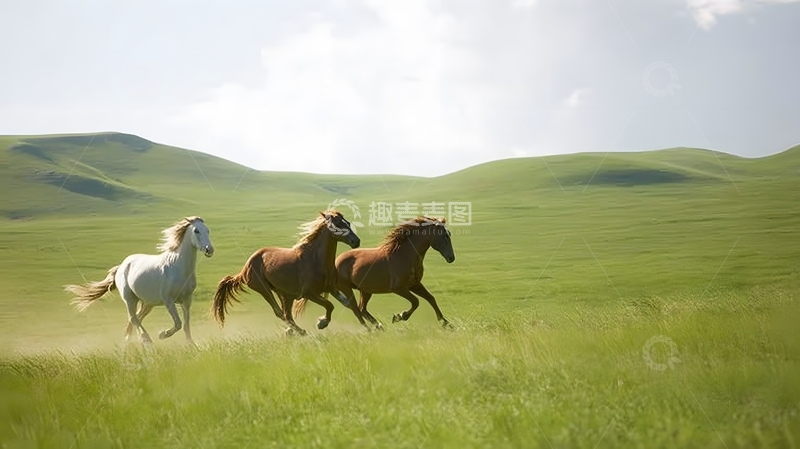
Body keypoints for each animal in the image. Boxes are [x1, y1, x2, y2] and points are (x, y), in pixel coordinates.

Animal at [65, 216, 214, 344]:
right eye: (196, 230)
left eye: (207, 230)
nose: (209, 250)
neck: (178, 267)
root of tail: (122, 266)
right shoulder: (168, 300)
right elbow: (178, 323)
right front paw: (162, 334)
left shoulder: (187, 300)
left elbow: (186, 325)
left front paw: (191, 344)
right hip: (130, 299)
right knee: (133, 318)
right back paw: (146, 340)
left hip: (148, 303)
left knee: (137, 317)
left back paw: (132, 341)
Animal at [211, 210, 366, 335]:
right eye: (338, 224)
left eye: (347, 223)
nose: (356, 241)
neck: (315, 259)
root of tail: (244, 269)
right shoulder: (309, 294)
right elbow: (330, 305)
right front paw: (322, 323)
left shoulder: (331, 289)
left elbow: (350, 305)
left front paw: (369, 326)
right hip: (264, 289)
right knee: (280, 313)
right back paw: (300, 332)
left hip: (285, 294)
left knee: (287, 314)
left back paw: (293, 331)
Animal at [297, 216, 455, 329]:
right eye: (444, 236)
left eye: (449, 234)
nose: (451, 258)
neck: (405, 255)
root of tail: (334, 262)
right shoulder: (399, 288)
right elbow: (416, 302)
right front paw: (400, 316)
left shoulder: (415, 284)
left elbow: (431, 299)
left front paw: (446, 323)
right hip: (347, 288)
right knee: (356, 308)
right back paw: (372, 328)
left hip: (365, 290)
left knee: (362, 309)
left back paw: (378, 326)